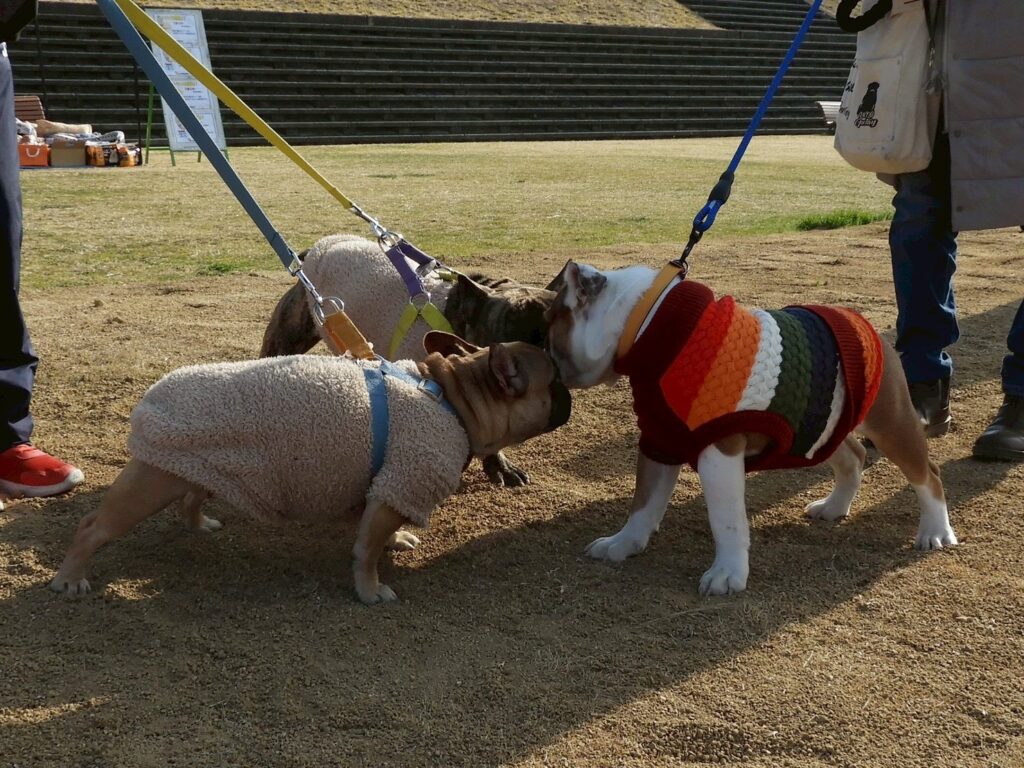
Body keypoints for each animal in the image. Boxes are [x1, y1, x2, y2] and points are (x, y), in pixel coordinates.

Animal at [49, 331, 571, 605]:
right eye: (555, 381)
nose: (571, 390)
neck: (454, 400)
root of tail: (153, 393)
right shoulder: (401, 483)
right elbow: (366, 549)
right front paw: (370, 589)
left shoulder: (386, 489)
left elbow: (377, 530)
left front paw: (397, 540)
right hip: (148, 485)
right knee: (93, 526)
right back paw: (71, 576)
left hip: (202, 465)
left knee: (193, 496)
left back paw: (200, 524)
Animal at [545, 261, 957, 596]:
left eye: (549, 329)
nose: (543, 358)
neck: (646, 323)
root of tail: (867, 325)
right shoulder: (660, 440)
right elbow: (643, 503)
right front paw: (622, 545)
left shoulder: (719, 451)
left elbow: (725, 520)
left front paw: (727, 574)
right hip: (819, 426)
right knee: (853, 456)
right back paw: (834, 507)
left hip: (891, 423)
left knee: (929, 475)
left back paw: (935, 531)